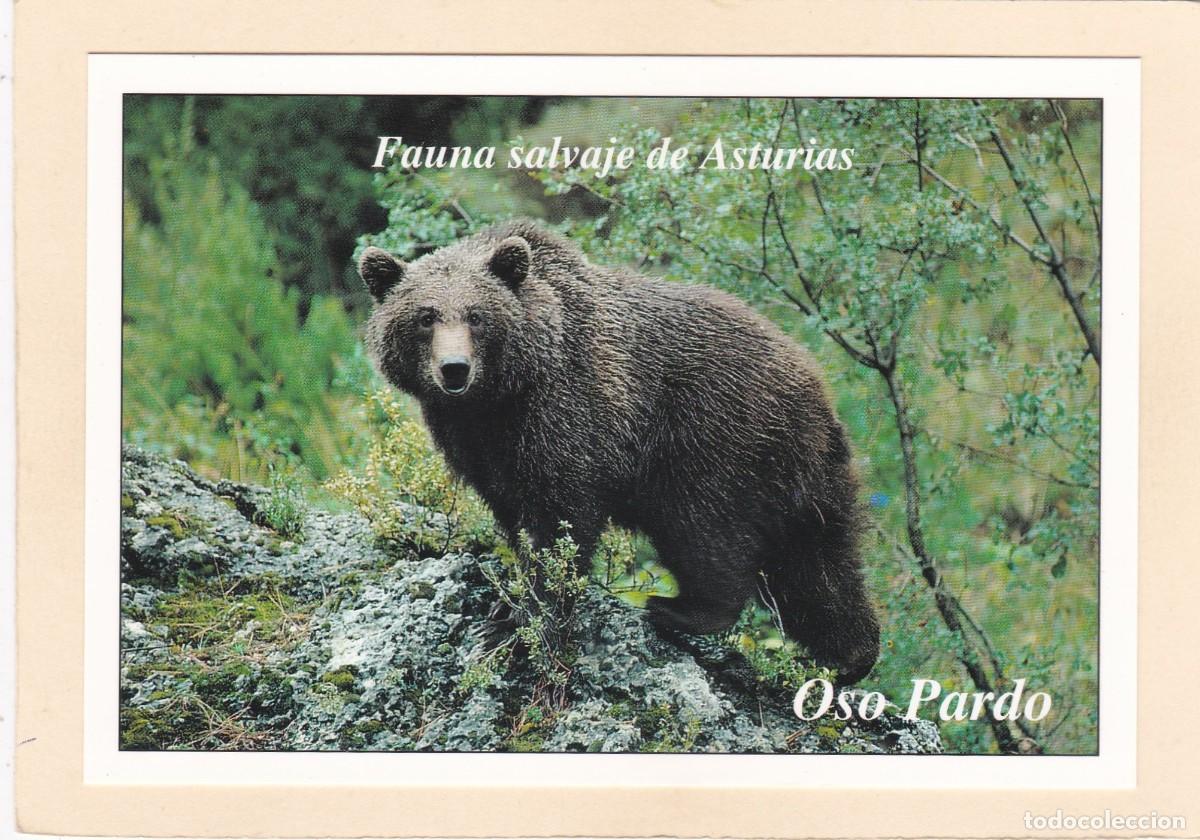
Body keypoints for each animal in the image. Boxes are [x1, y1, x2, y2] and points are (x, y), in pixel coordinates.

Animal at [359, 220, 880, 684]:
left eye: (476, 315)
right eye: (425, 316)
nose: (454, 369)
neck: (502, 397)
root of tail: (815, 384)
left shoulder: (568, 412)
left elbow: (560, 523)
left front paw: (523, 627)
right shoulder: (480, 446)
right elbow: (515, 520)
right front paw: (505, 615)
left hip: (714, 439)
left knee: (707, 532)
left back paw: (678, 609)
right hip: (802, 471)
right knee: (818, 563)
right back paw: (847, 657)